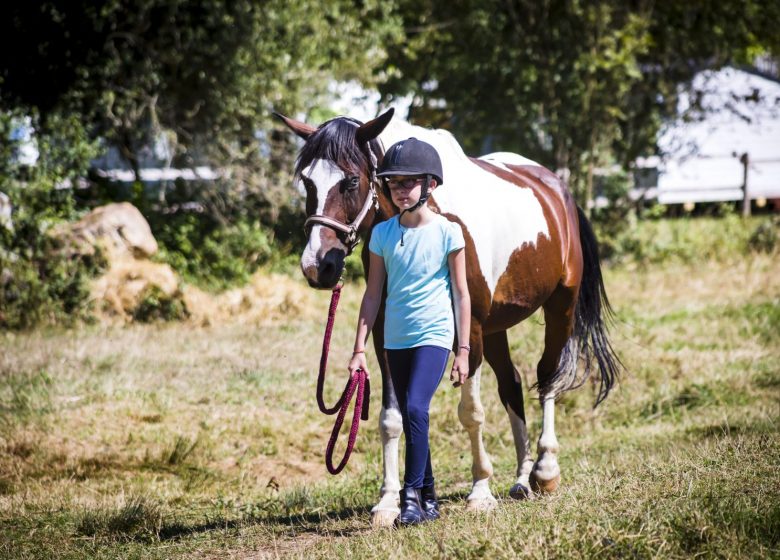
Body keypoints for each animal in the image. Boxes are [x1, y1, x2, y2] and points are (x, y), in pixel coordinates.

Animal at [276, 107, 620, 528]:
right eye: (307, 182)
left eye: (351, 180)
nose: (318, 266)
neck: (429, 215)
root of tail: (558, 190)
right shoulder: (387, 337)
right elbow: (392, 418)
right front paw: (388, 501)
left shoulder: (469, 334)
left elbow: (471, 412)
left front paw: (480, 492)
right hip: (496, 328)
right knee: (512, 385)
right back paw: (522, 478)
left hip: (560, 307)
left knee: (547, 377)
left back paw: (545, 470)